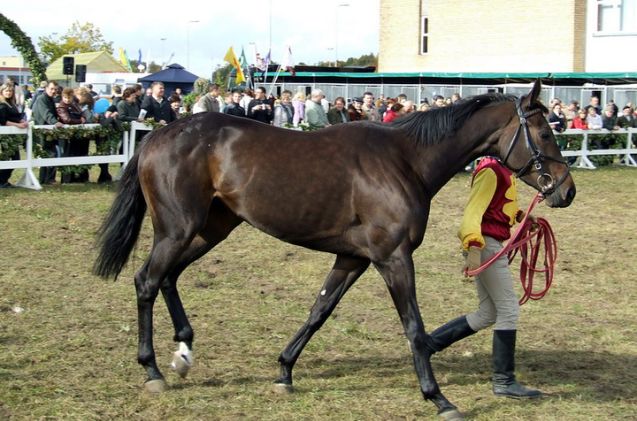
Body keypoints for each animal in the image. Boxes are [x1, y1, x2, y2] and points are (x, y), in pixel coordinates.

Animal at [94, 80, 576, 418]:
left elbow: (319, 311)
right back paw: (153, 369)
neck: (405, 161)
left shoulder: (354, 258)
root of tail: (156, 137)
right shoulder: (393, 259)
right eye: (543, 132)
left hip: (209, 229)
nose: (566, 190)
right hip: (178, 230)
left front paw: (284, 371)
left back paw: (183, 353)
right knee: (147, 280)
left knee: (169, 278)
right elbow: (414, 327)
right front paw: (438, 397)